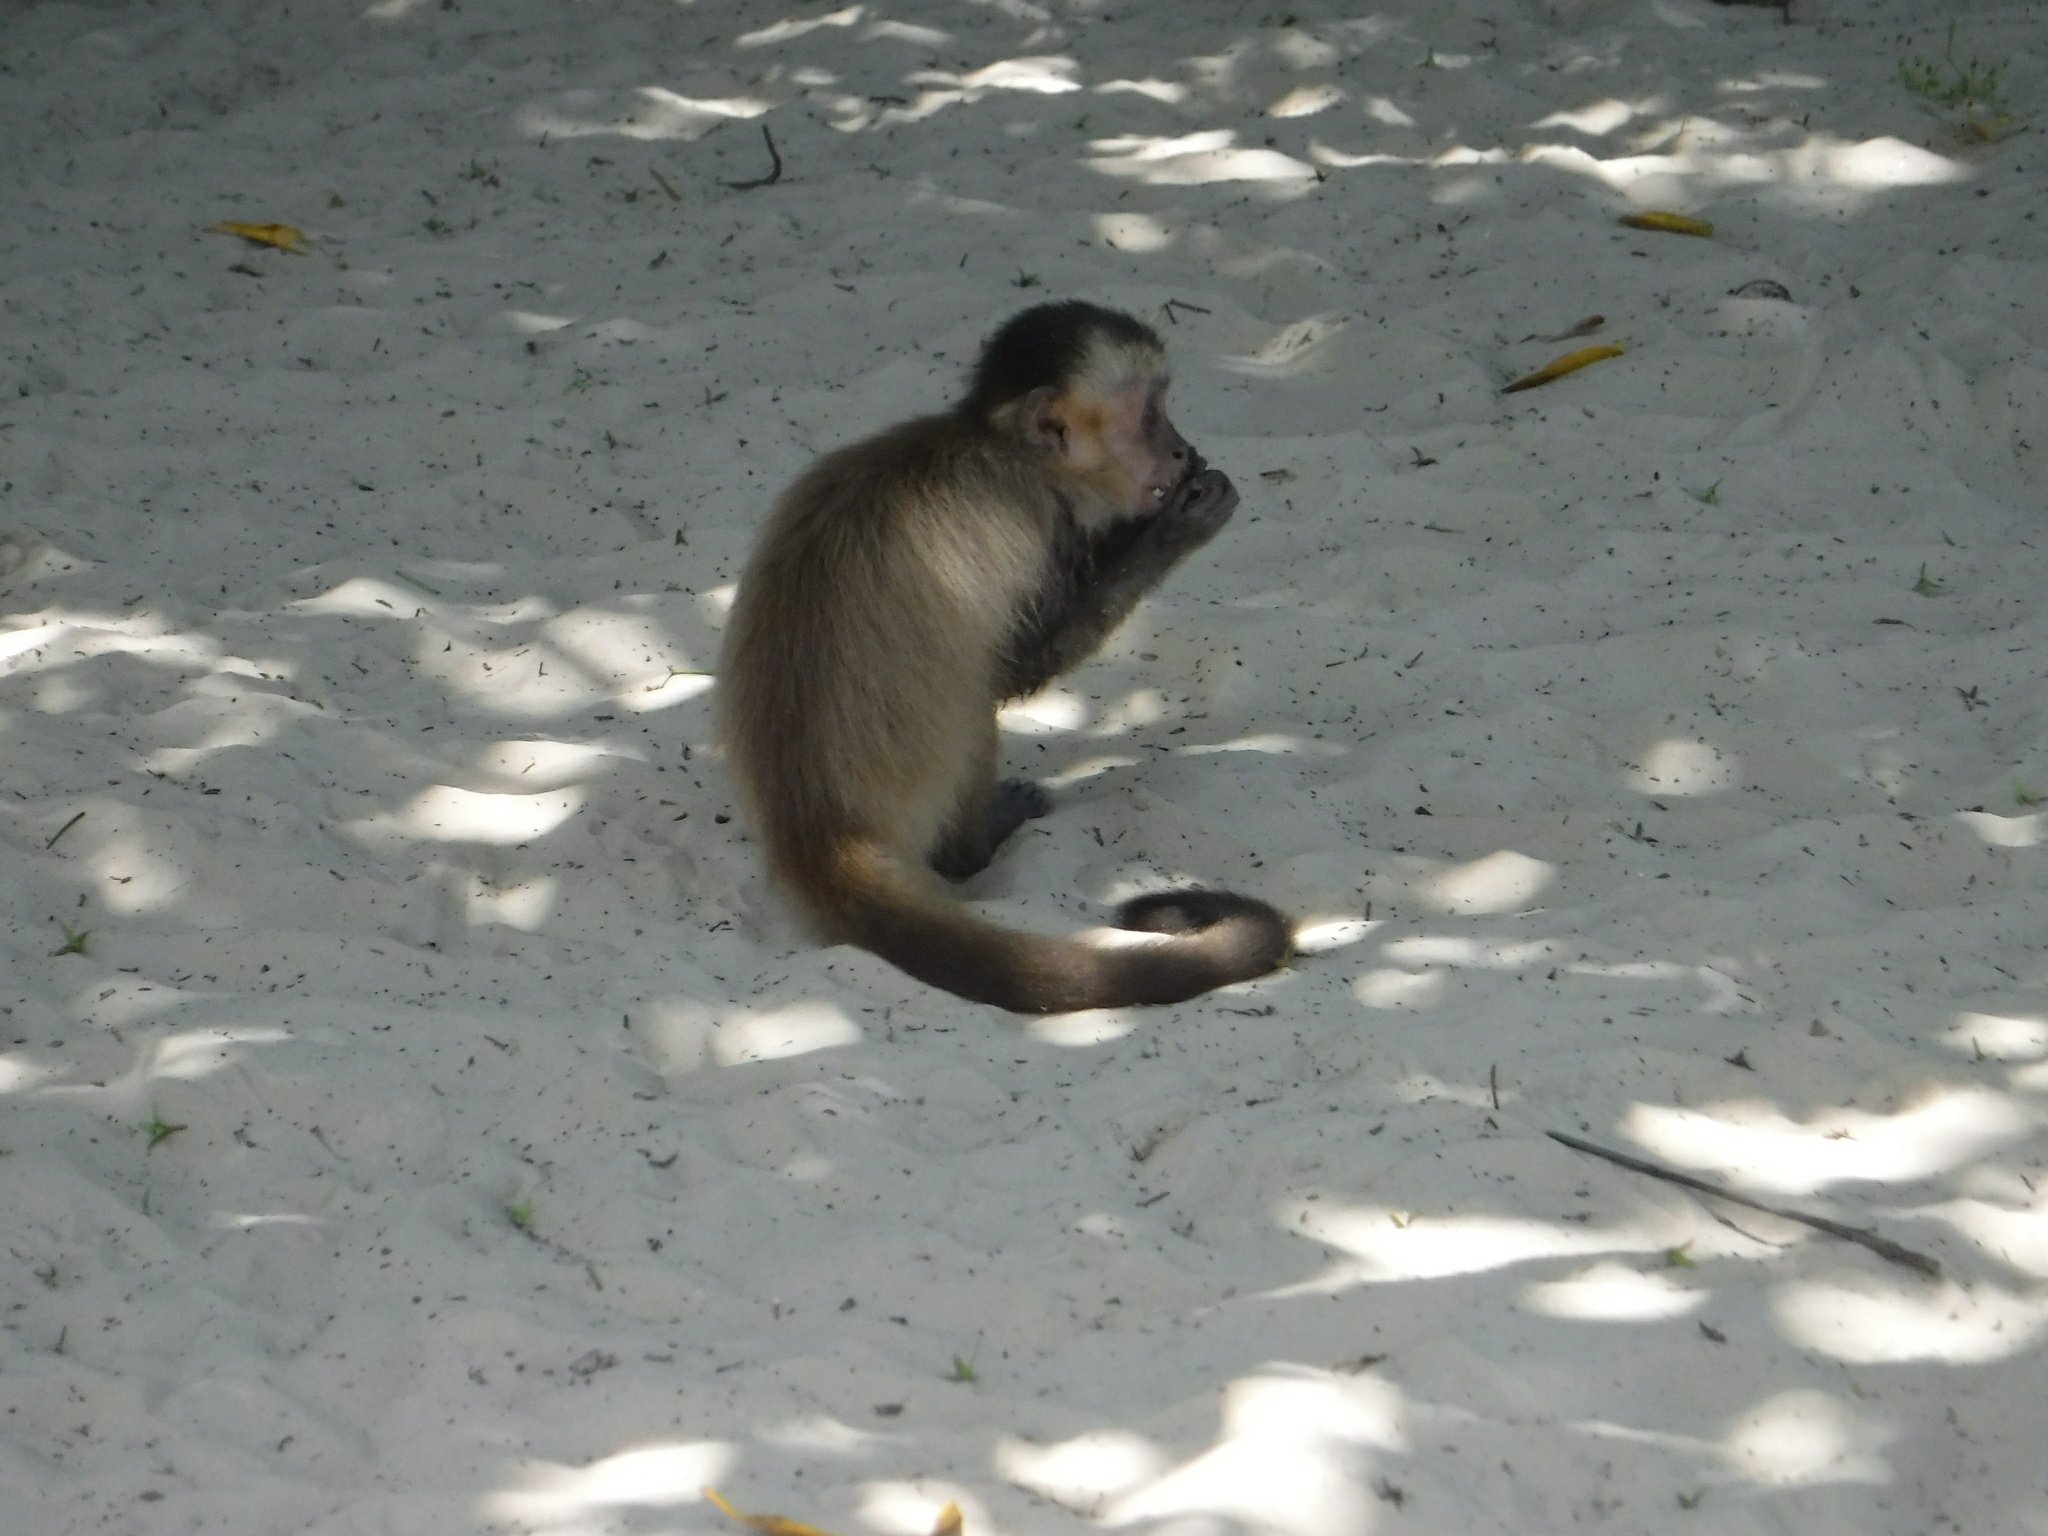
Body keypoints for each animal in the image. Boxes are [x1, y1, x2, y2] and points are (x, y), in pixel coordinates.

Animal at [717, 300, 1290, 1013]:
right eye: (1151, 417)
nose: (1181, 447)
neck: (1000, 446)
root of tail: (818, 829)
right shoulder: (1037, 516)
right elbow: (1010, 669)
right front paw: (1175, 528)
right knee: (972, 702)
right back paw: (975, 847)